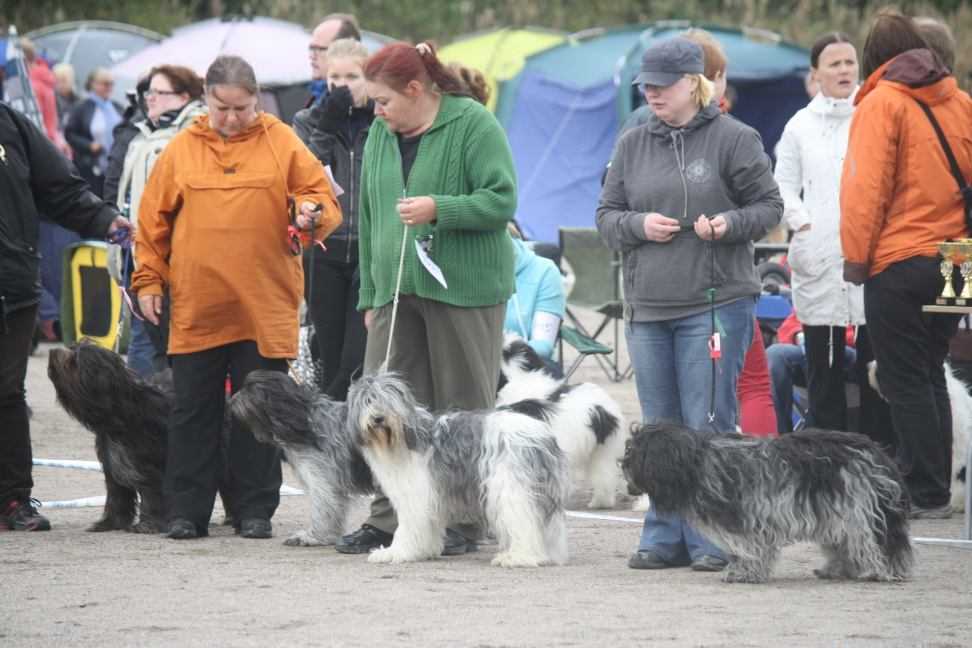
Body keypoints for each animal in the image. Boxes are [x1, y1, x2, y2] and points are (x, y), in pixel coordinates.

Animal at [47, 342, 168, 533]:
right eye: (72, 348)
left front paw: (148, 525)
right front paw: (110, 523)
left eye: (75, 360)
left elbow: (152, 494)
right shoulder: (113, 465)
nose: (52, 351)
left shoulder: (151, 465)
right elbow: (116, 496)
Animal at [227, 370, 374, 546]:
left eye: (250, 388)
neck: (302, 422)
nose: (231, 401)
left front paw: (313, 537)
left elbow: (324, 507)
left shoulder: (322, 479)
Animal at [347, 372, 569, 567]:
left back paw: (518, 557)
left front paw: (395, 552)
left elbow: (407, 527)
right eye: (367, 401)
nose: (378, 418)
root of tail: (542, 435)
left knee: (523, 523)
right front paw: (424, 551)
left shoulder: (415, 496)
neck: (403, 438)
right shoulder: (428, 497)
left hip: (510, 490)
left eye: (388, 401)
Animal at [622, 423, 913, 583]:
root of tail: (879, 453)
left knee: (879, 543)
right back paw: (837, 569)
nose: (622, 468)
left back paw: (882, 571)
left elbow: (748, 549)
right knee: (844, 544)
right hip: (839, 513)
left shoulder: (747, 520)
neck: (699, 463)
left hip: (861, 510)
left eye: (634, 453)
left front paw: (742, 573)